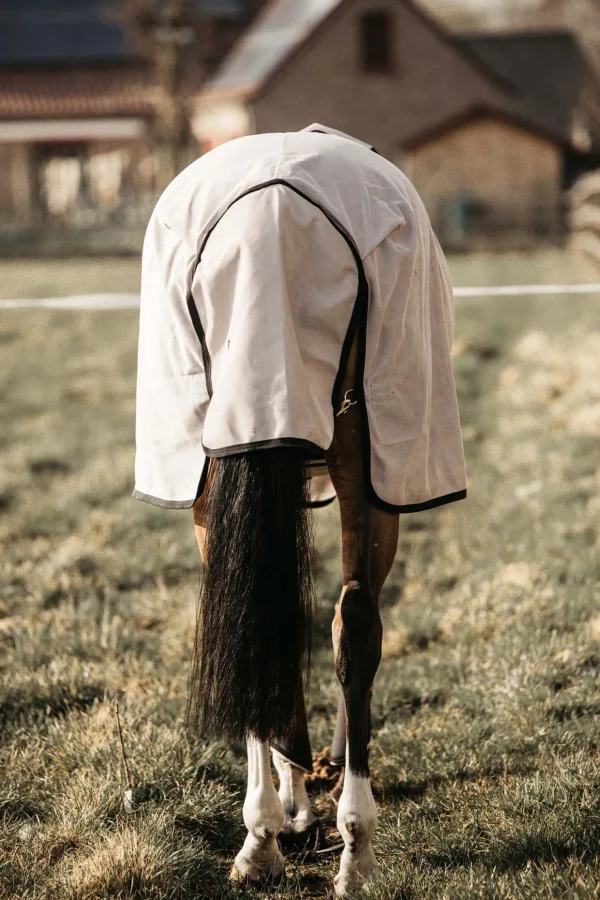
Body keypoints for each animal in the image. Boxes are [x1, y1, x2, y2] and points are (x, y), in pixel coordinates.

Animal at [134, 125, 466, 892]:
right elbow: (345, 630)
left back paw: (262, 838)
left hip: (216, 476)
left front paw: (287, 809)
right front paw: (315, 800)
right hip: (364, 467)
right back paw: (353, 846)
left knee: (262, 627)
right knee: (356, 625)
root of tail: (276, 219)